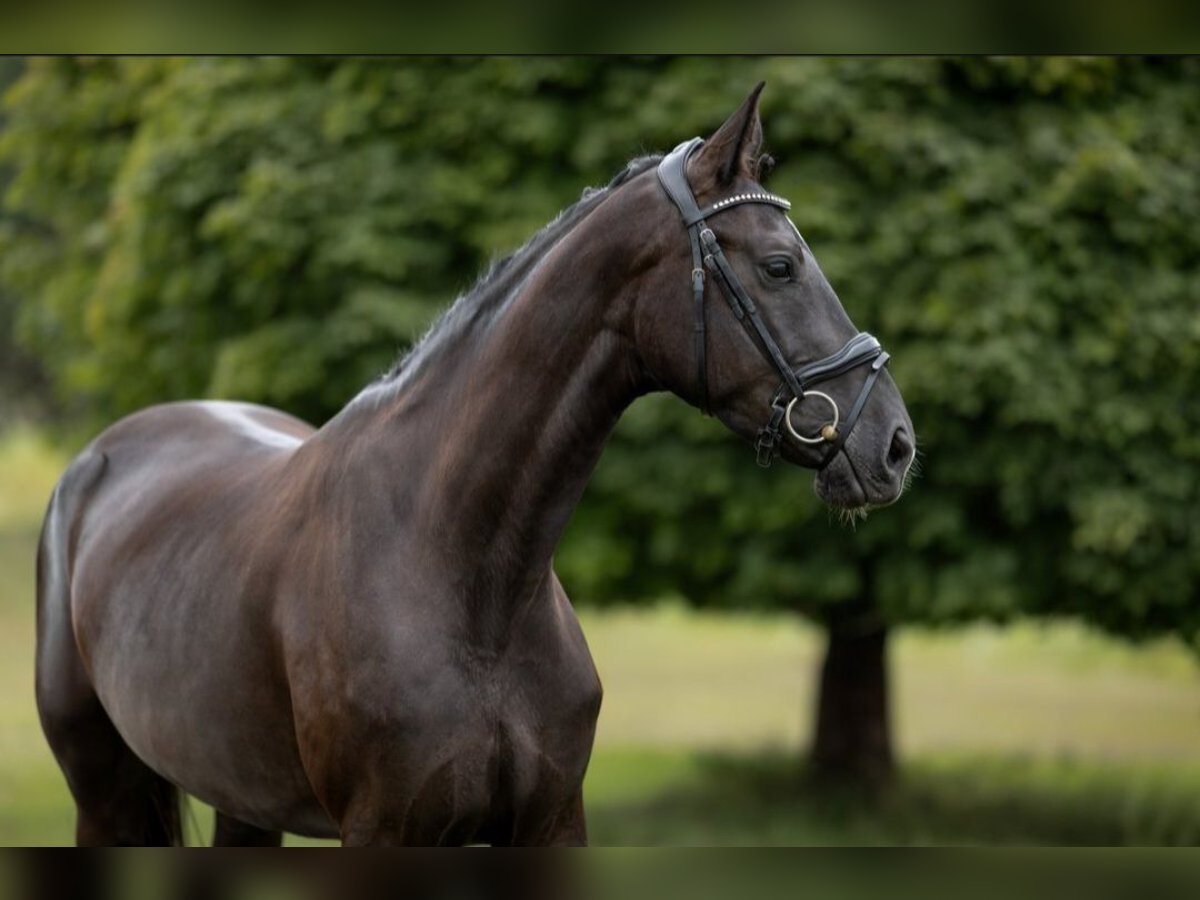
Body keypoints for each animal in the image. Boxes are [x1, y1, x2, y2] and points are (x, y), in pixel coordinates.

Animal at [37, 82, 916, 844]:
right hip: (103, 791)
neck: (462, 577)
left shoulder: (553, 821)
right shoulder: (381, 831)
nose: (896, 444)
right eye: (780, 266)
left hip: (241, 799)